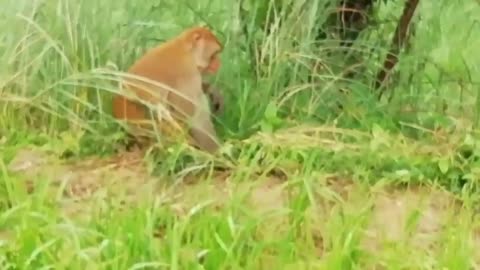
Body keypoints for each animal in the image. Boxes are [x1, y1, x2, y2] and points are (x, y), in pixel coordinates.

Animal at [112, 26, 223, 154]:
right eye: (214, 55)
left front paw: (212, 90)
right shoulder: (187, 74)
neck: (185, 49)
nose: (218, 63)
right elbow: (190, 115)